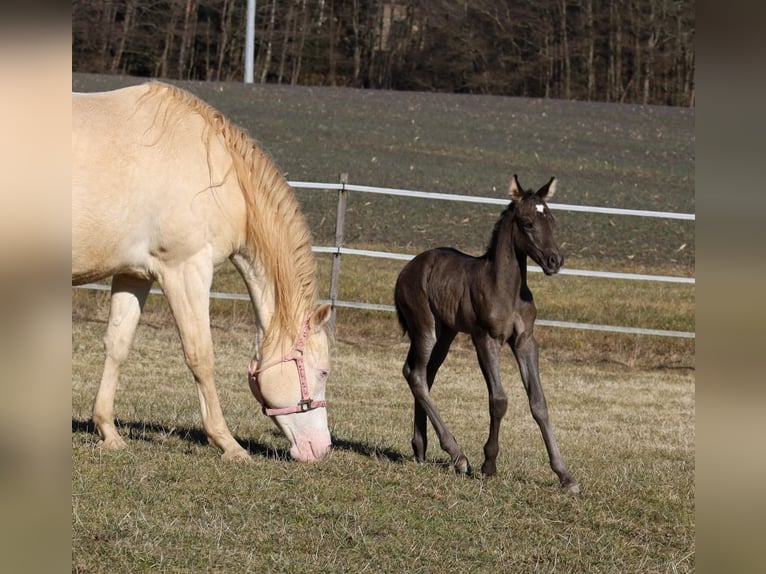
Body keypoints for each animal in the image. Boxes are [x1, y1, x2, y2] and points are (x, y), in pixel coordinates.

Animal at [73, 83, 332, 464]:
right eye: (323, 371)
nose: (321, 448)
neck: (222, 172)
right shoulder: (186, 270)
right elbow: (201, 356)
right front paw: (228, 443)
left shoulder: (135, 275)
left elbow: (118, 345)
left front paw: (109, 432)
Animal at [396, 177, 584, 496]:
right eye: (527, 223)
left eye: (552, 220)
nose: (555, 260)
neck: (506, 288)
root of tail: (406, 269)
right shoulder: (485, 339)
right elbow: (499, 399)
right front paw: (489, 464)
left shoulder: (525, 342)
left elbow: (539, 402)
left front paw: (565, 475)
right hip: (425, 328)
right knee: (416, 375)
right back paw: (458, 456)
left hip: (446, 333)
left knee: (423, 375)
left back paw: (421, 448)